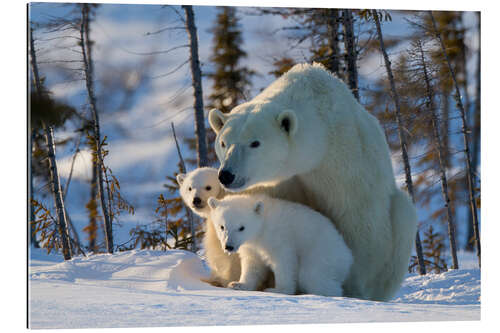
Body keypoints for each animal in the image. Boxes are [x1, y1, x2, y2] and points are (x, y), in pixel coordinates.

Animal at [206, 192, 352, 296]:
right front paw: (238, 284)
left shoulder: (280, 237)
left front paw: (278, 290)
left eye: (241, 227)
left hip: (322, 253)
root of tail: (347, 256)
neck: (262, 226)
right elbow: (252, 263)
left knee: (313, 275)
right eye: (222, 226)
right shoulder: (251, 245)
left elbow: (284, 261)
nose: (228, 246)